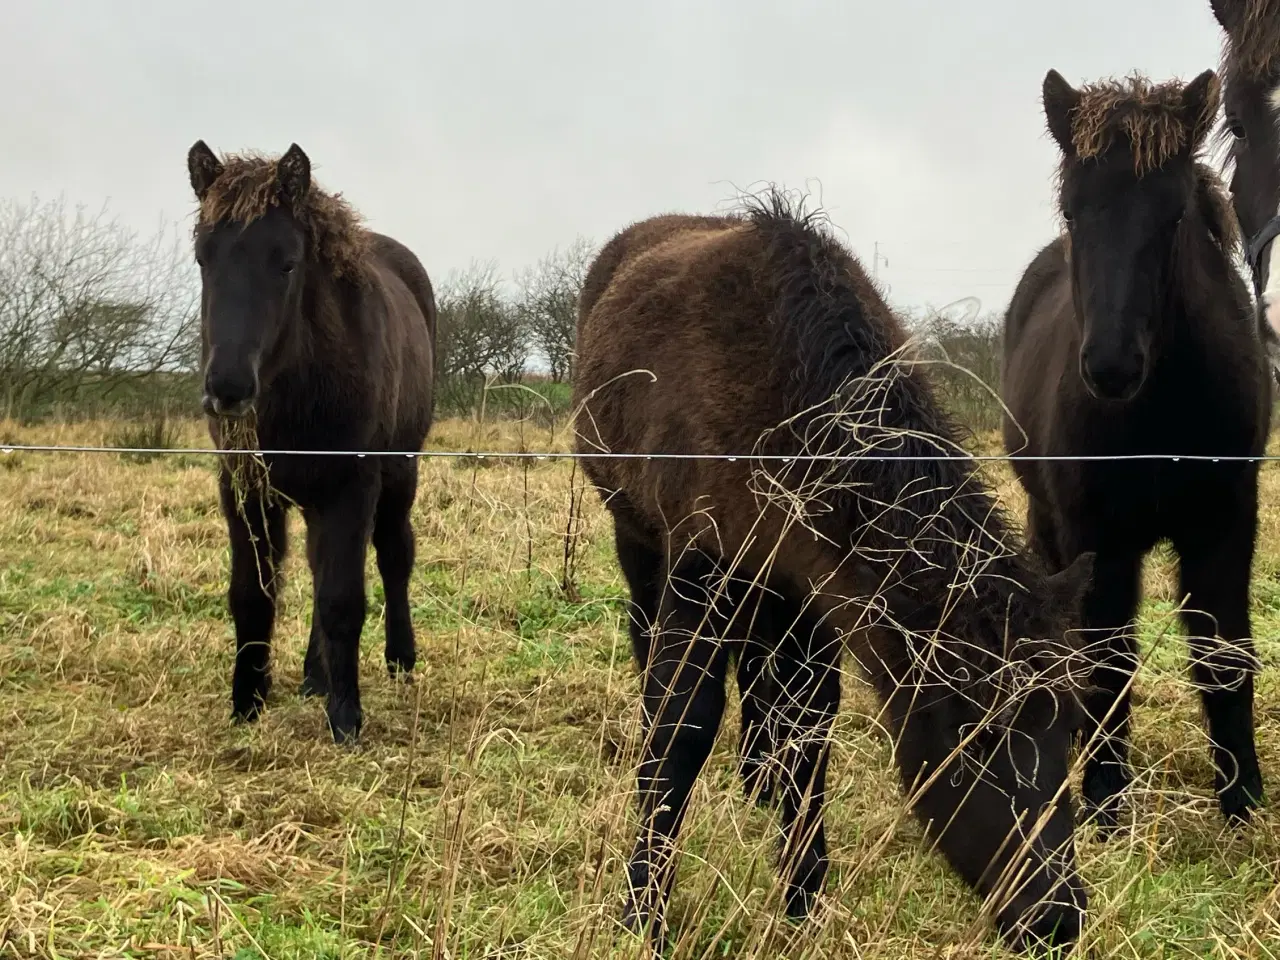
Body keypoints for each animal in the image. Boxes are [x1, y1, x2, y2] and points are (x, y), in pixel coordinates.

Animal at [185, 140, 435, 742]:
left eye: (288, 263)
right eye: (204, 258)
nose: (228, 389)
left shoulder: (351, 485)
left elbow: (342, 599)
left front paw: (346, 720)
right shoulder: (245, 487)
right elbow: (253, 595)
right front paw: (246, 705)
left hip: (400, 472)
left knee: (394, 555)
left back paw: (399, 658)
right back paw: (313, 677)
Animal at [578, 195, 1090, 957]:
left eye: (1070, 728)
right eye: (972, 740)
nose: (1056, 917)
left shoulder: (816, 588)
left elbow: (808, 728)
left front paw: (801, 898)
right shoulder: (700, 567)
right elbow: (680, 728)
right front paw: (644, 910)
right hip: (638, 537)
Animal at [1008, 71, 1269, 829]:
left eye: (1174, 215)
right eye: (1072, 212)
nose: (1111, 367)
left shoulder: (1226, 523)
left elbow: (1224, 652)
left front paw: (1242, 801)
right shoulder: (1097, 538)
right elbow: (1105, 662)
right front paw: (1103, 799)